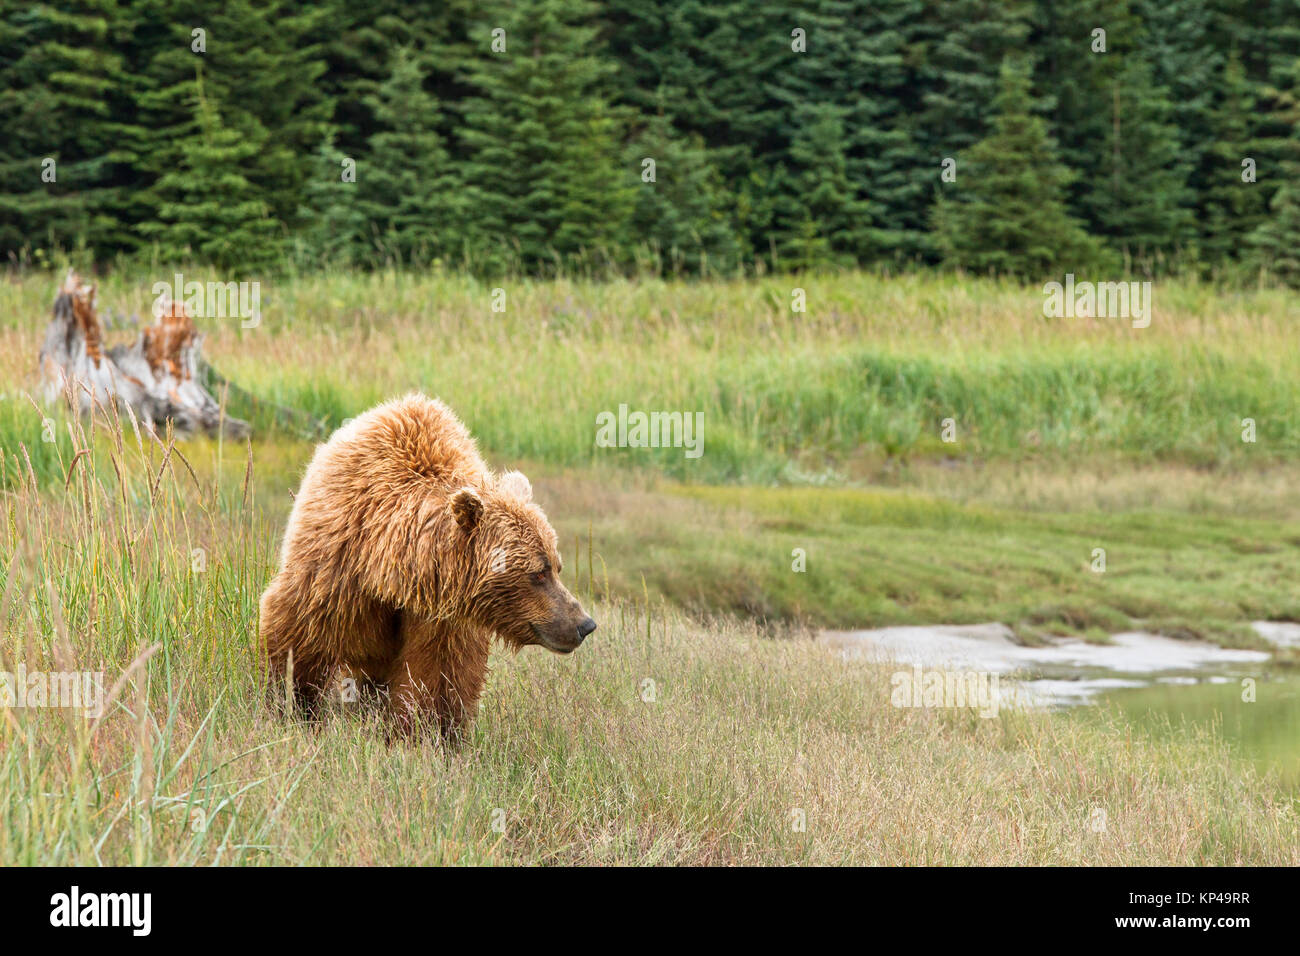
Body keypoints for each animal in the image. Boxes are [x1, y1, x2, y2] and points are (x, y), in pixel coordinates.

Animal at [258, 393, 596, 739]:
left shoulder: (442, 616)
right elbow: (299, 630)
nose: (584, 624)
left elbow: (440, 676)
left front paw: (424, 733)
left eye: (557, 566)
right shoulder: (336, 563)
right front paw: (295, 706)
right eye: (538, 572)